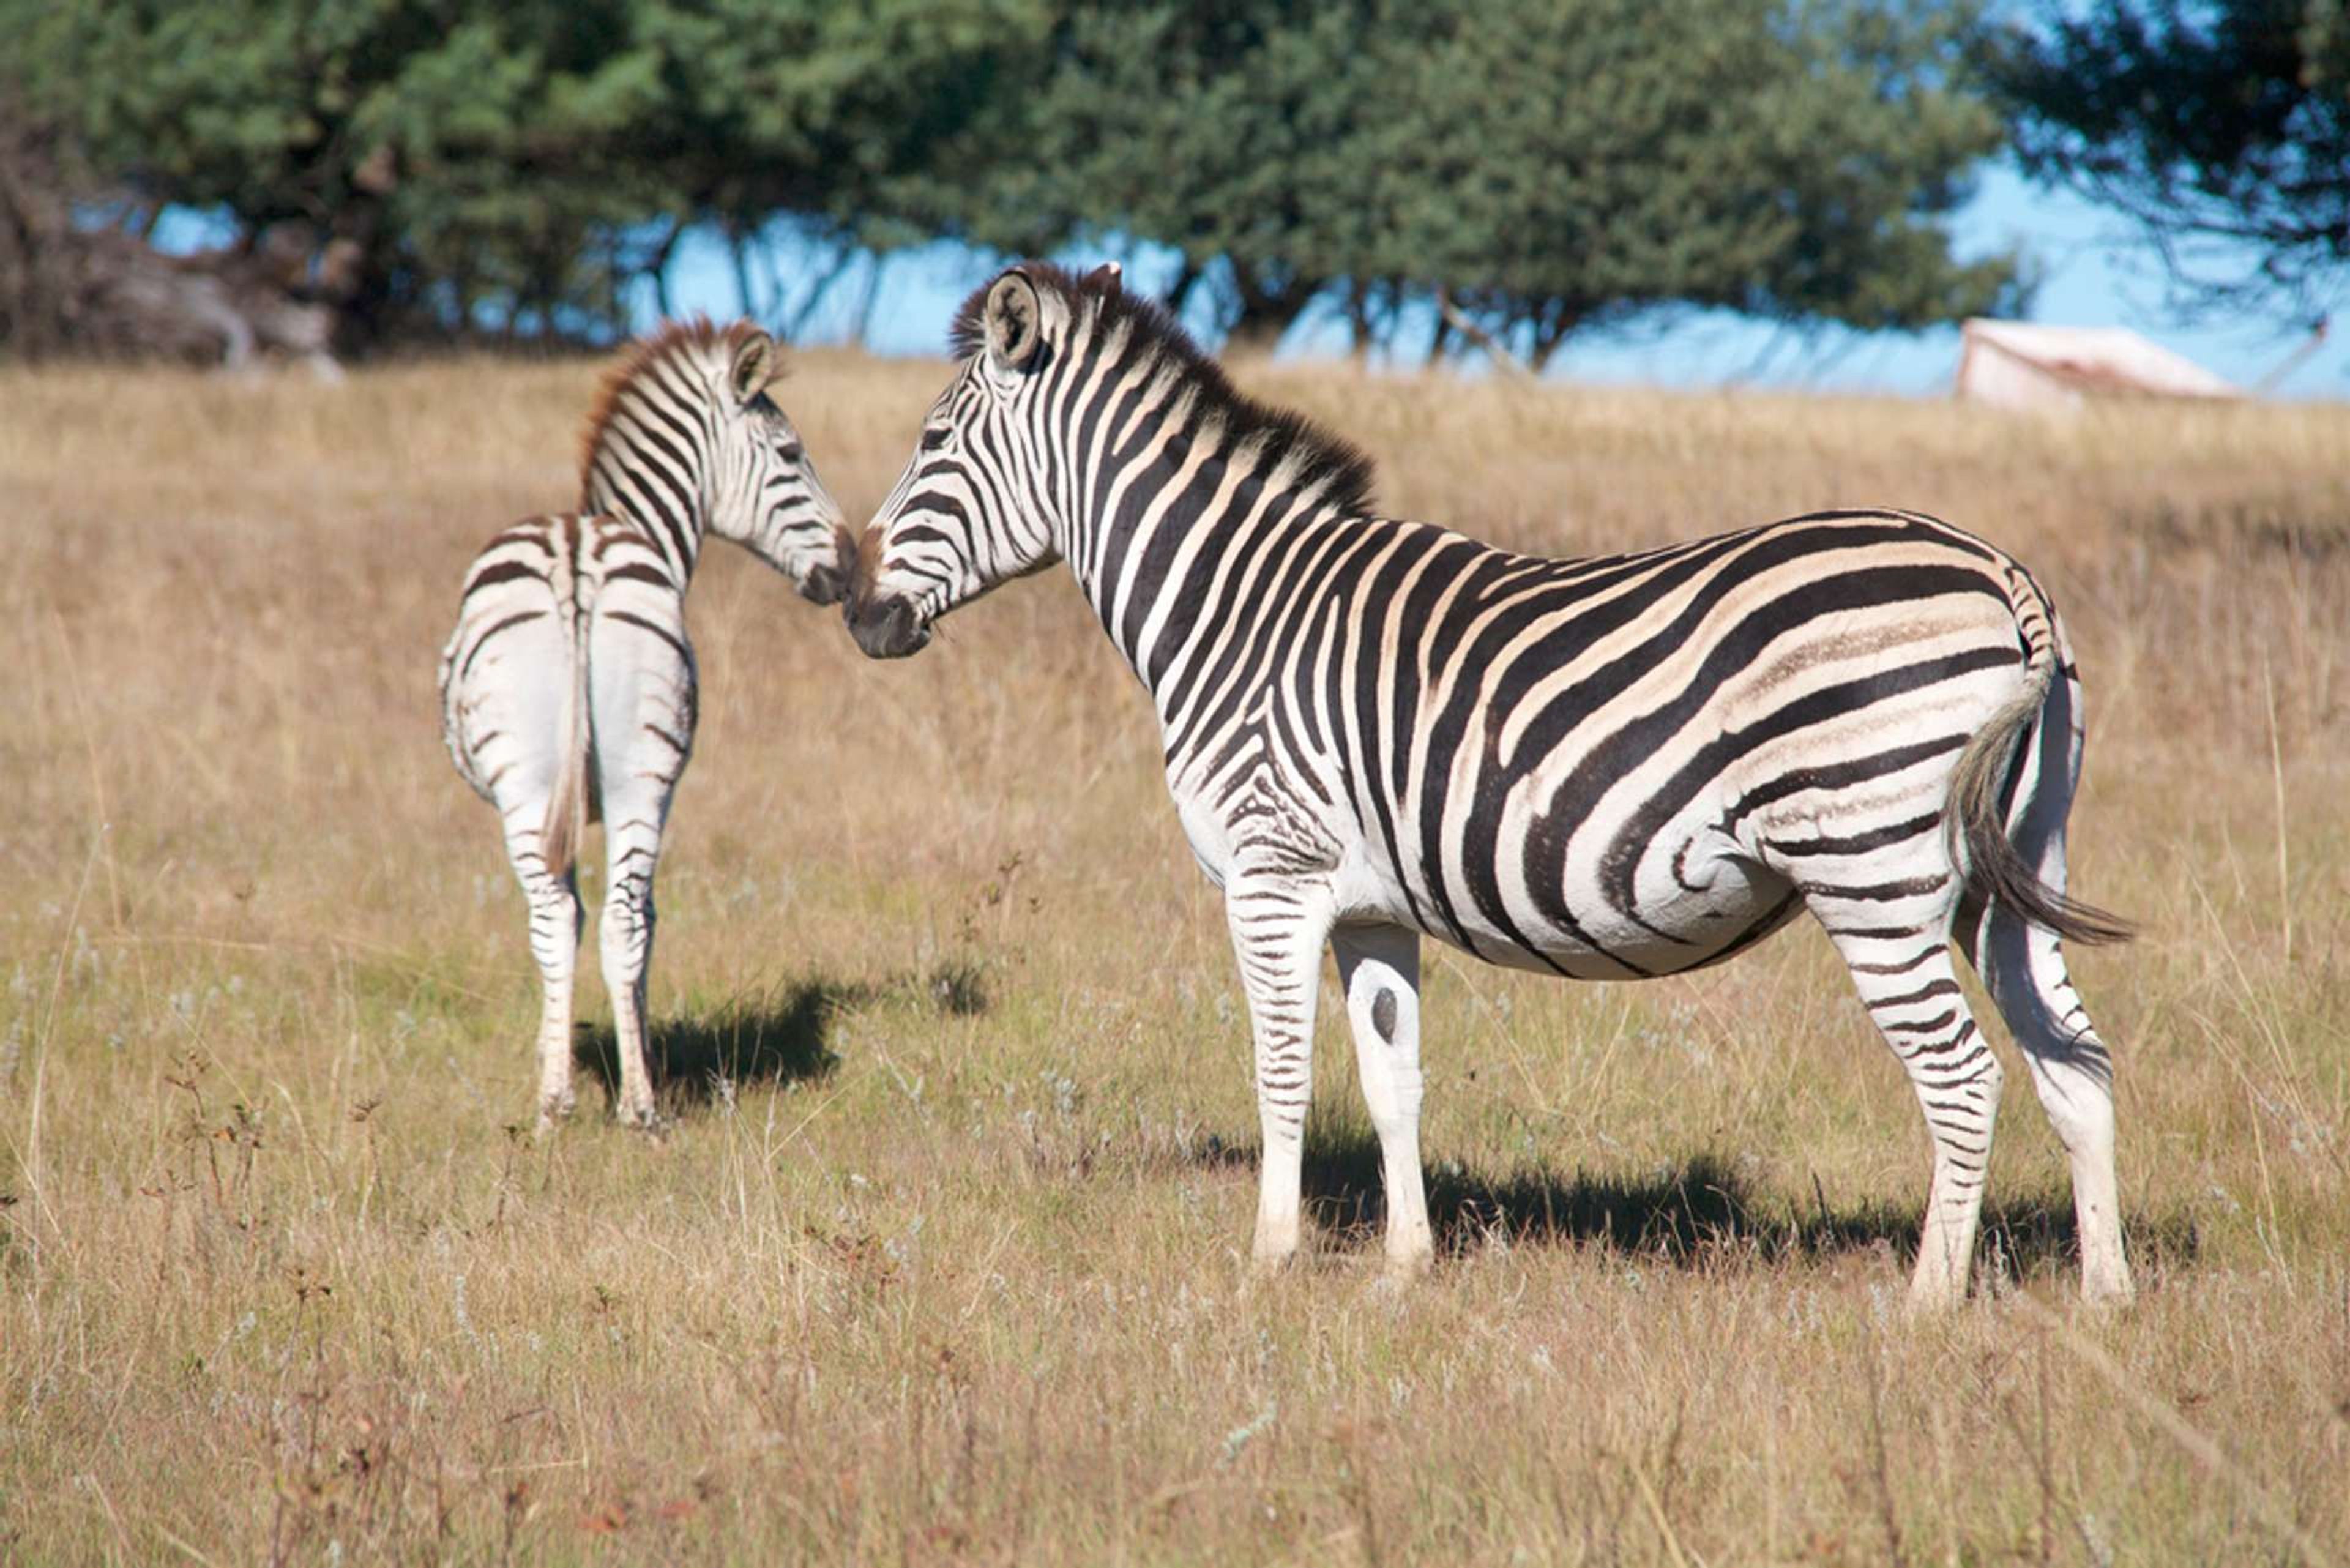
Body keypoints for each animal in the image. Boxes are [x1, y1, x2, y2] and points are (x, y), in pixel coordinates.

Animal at [441, 322, 855, 1128]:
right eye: (791, 455)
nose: (853, 568)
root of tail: (576, 562)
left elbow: (582, 924)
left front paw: (567, 1055)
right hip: (638, 779)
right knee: (619, 920)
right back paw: (633, 1105)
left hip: (541, 786)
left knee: (563, 920)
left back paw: (567, 1104)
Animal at [855, 270, 2143, 1316]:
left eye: (932, 442)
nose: (858, 613)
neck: (1236, 607)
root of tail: (2003, 573)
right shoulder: (1371, 906)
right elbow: (1393, 1081)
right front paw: (1403, 1269)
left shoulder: (1272, 877)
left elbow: (1281, 1070)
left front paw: (1269, 1262)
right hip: (2009, 872)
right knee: (2074, 1066)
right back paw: (2107, 1297)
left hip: (1871, 863)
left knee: (1964, 1077)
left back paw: (1926, 1304)